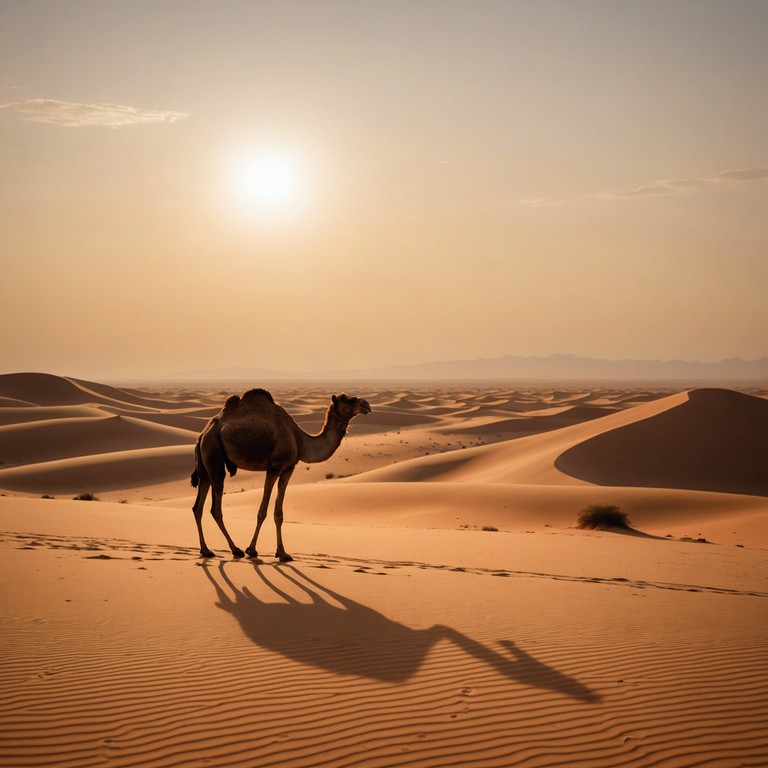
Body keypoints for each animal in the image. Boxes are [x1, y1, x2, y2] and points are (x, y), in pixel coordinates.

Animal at [191, 390, 372, 560]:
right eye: (347, 400)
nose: (367, 405)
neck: (298, 439)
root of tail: (203, 433)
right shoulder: (274, 467)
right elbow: (262, 511)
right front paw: (252, 549)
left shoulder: (288, 468)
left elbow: (279, 513)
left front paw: (282, 553)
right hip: (214, 454)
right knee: (215, 508)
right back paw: (236, 549)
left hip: (205, 465)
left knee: (198, 506)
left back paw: (206, 550)